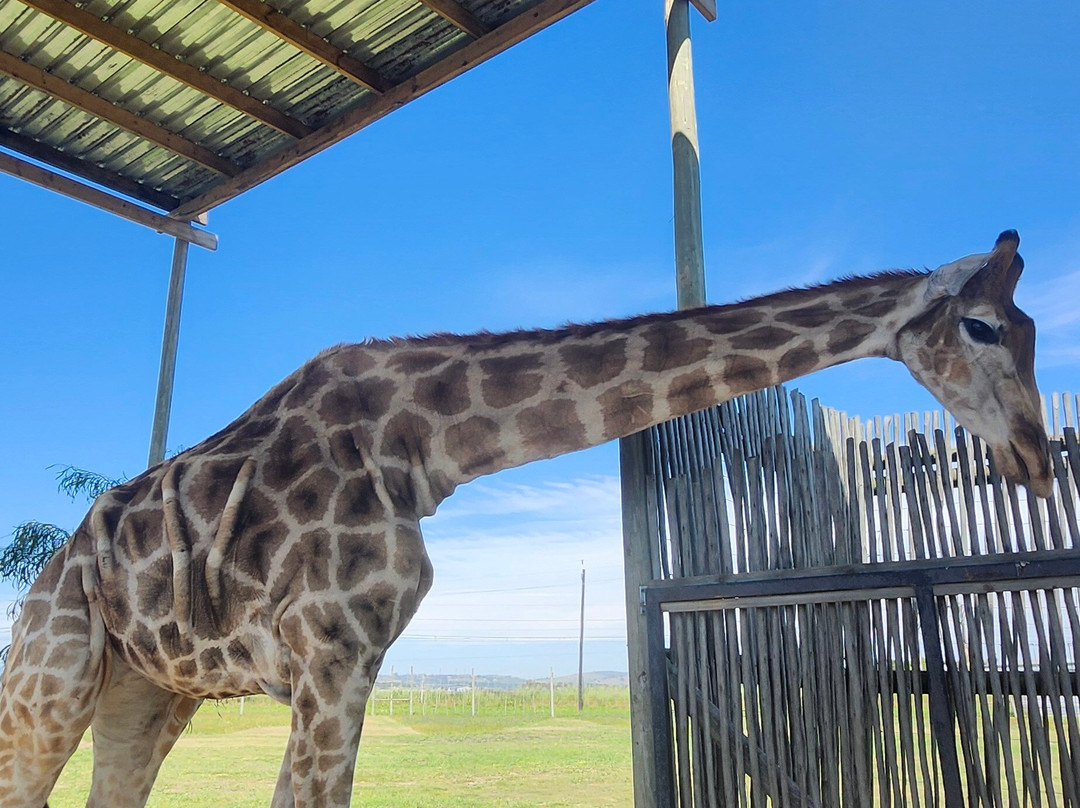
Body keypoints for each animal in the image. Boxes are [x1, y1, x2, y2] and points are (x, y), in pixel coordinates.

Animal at [0, 230, 1051, 808]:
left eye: (1032, 331)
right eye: (982, 327)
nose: (1036, 461)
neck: (425, 447)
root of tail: (57, 562)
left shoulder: (340, 669)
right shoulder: (329, 660)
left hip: (149, 692)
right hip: (51, 676)